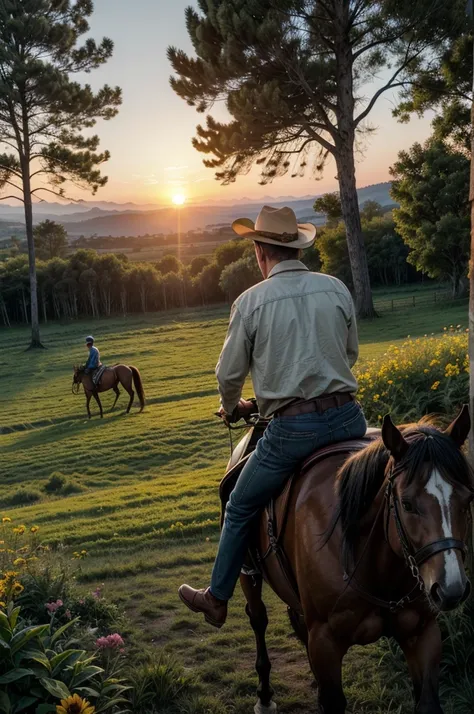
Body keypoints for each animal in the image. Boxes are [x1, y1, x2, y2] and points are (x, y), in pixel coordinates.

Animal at [239, 406, 472, 712]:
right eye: (407, 504)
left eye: (468, 499)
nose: (451, 589)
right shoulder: (324, 642)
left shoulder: (423, 633)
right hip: (248, 576)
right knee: (258, 619)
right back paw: (264, 696)